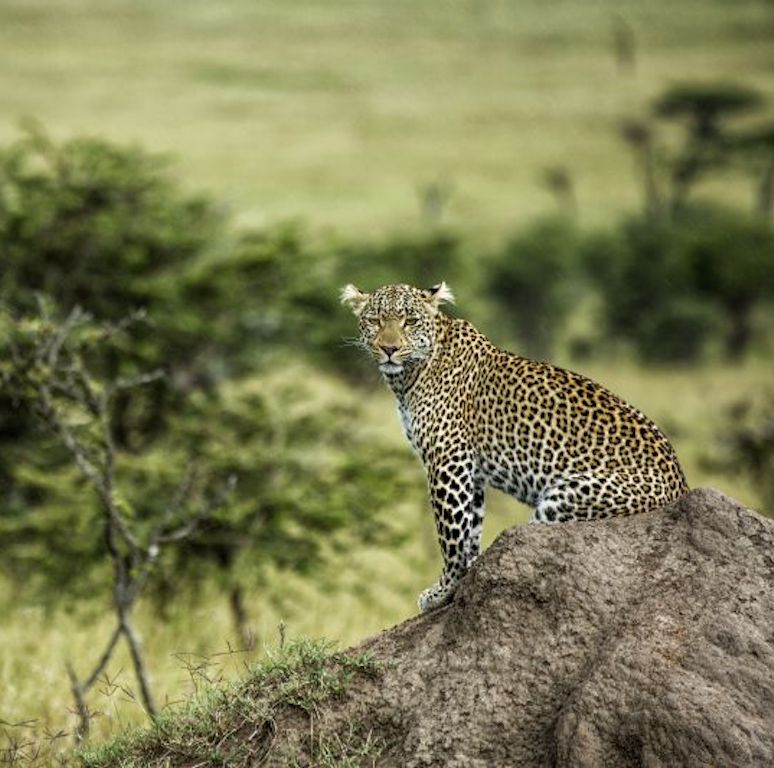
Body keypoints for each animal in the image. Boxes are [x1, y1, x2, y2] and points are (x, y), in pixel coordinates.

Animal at [341, 281, 689, 613]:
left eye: (410, 321)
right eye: (375, 320)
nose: (389, 348)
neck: (409, 377)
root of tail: (682, 486)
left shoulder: (447, 461)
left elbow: (450, 535)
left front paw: (441, 592)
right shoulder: (470, 472)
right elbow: (470, 530)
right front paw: (465, 577)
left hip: (563, 498)